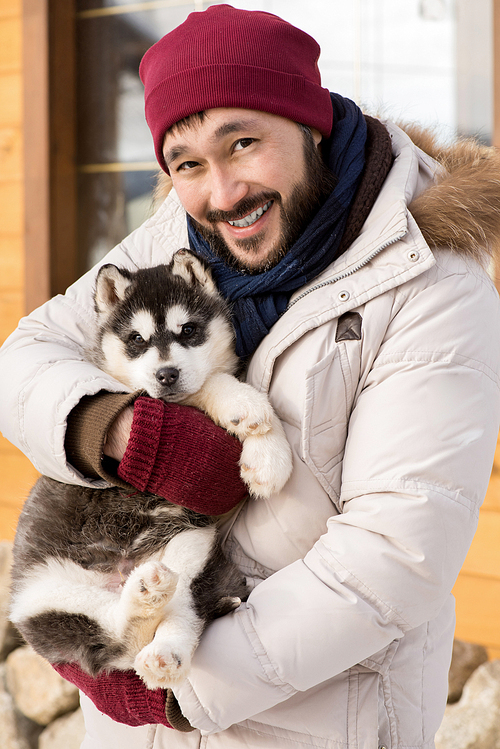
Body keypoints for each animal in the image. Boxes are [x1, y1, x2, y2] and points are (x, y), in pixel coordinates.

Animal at [9, 251, 292, 688]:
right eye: (137, 340)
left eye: (188, 330)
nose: (167, 374)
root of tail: (122, 574)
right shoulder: (141, 395)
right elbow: (208, 384)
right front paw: (247, 408)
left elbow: (212, 382)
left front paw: (268, 456)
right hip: (44, 596)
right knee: (118, 632)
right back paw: (144, 597)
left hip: (191, 544)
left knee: (178, 612)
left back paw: (163, 647)